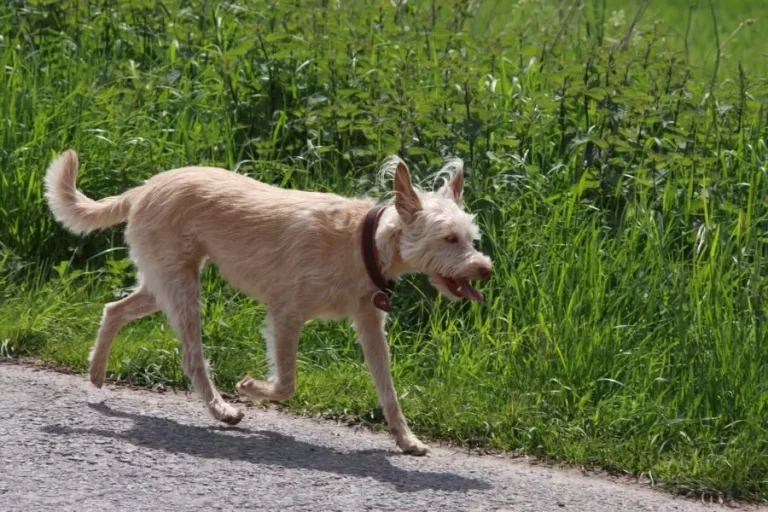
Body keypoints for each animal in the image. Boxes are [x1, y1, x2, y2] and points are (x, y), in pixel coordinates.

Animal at [45, 150, 492, 454]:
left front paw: (406, 438)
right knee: (191, 356)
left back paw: (96, 371)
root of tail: (143, 189)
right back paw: (221, 409)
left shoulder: (369, 323)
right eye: (449, 238)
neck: (364, 241)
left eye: (471, 239)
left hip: (160, 284)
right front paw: (250, 388)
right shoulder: (285, 315)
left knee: (114, 310)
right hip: (181, 287)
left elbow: (388, 388)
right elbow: (287, 383)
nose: (485, 268)